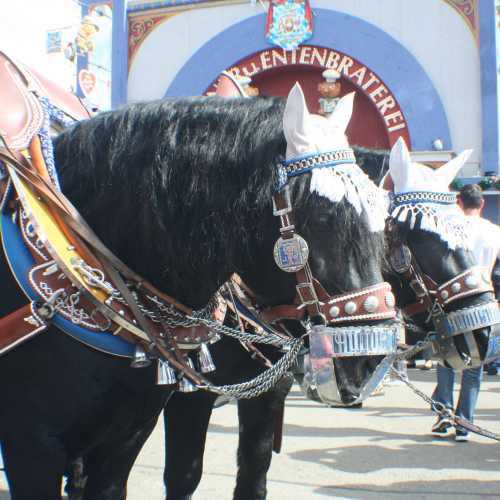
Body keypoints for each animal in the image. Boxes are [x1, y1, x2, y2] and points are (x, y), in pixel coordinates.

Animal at [0, 91, 396, 500]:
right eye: (322, 219)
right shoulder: (33, 442)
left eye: (383, 220)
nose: (373, 361)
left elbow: (253, 475)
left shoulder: (133, 434)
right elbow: (184, 475)